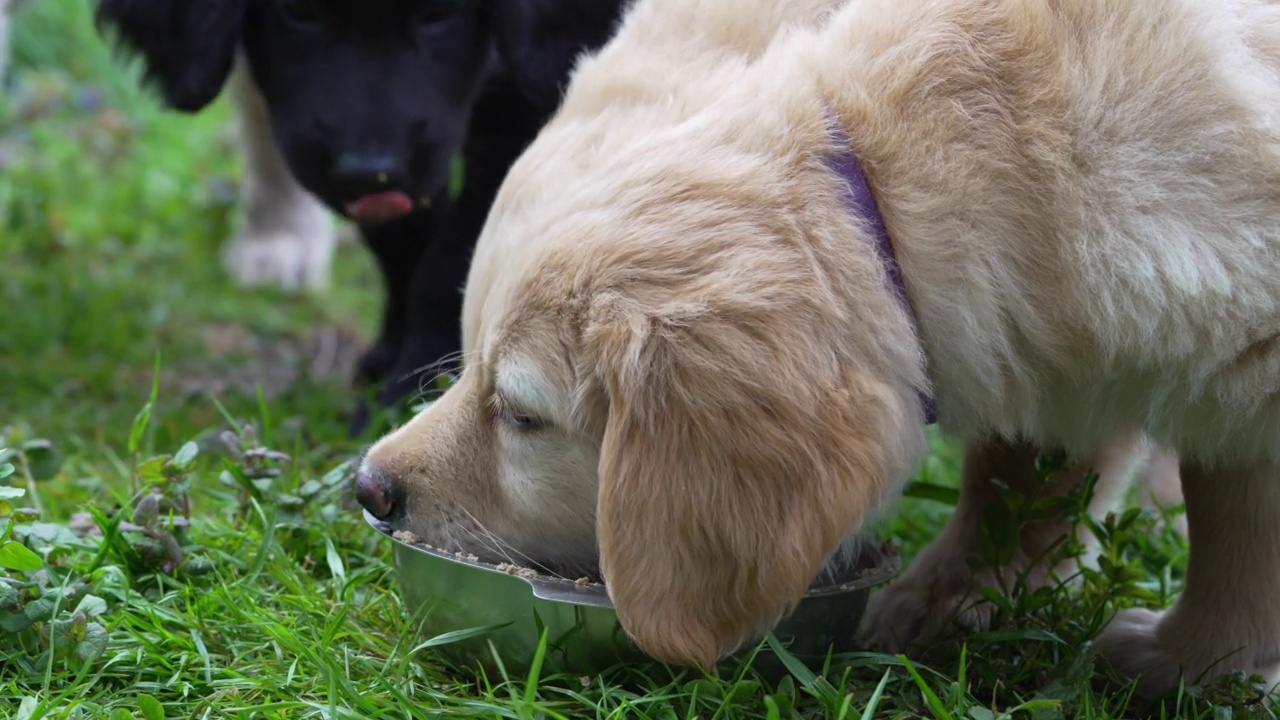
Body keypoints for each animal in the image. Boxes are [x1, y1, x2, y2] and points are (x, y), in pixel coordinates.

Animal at [92, 0, 627, 427]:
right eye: (299, 14)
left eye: (440, 15)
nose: (369, 171)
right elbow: (401, 238)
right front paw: (396, 357)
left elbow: (458, 258)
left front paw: (415, 391)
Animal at [355, 0, 1280, 696]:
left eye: (521, 415)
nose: (368, 488)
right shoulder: (1049, 325)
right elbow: (1018, 470)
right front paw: (956, 592)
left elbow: (1238, 517)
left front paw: (1193, 661)